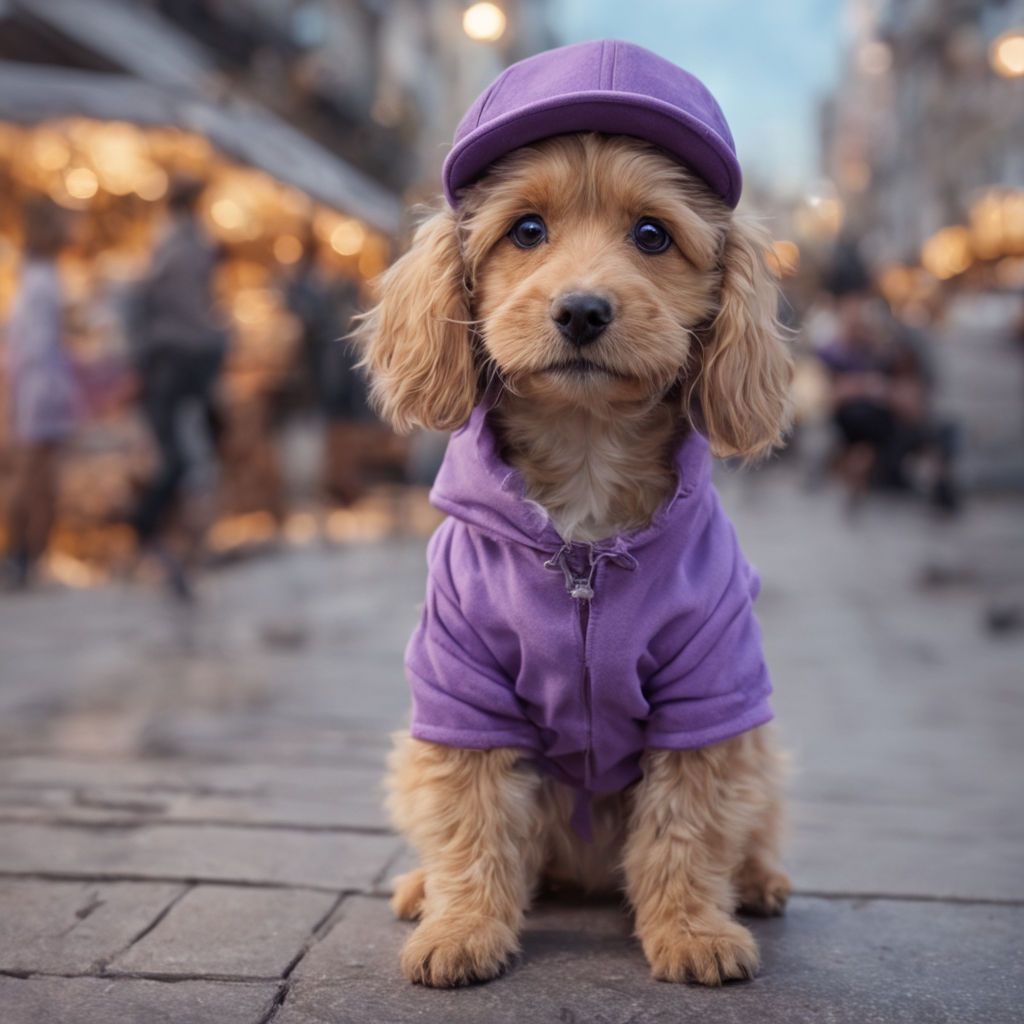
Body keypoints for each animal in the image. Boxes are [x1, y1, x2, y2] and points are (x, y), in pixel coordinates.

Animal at [358, 49, 790, 991]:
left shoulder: (712, 688)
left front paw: (692, 930)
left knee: (748, 827)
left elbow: (687, 826)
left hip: (763, 751)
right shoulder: (461, 687)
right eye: (526, 230)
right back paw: (421, 888)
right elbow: (471, 819)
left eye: (653, 235)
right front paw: (463, 927)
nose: (584, 310)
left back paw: (760, 881)